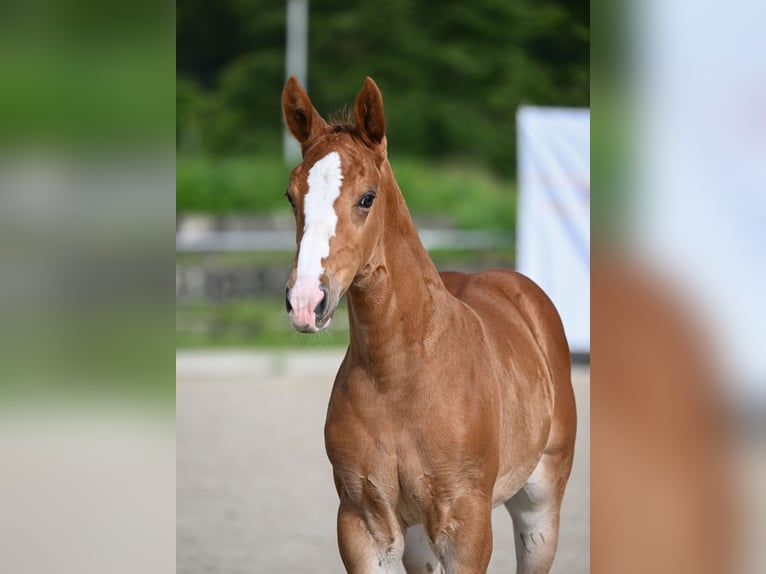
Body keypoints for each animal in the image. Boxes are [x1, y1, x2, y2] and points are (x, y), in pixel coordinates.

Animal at [282, 77, 576, 574]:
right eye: (291, 196)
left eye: (367, 197)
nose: (306, 301)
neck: (399, 377)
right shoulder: (363, 522)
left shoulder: (467, 525)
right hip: (420, 538)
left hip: (540, 506)